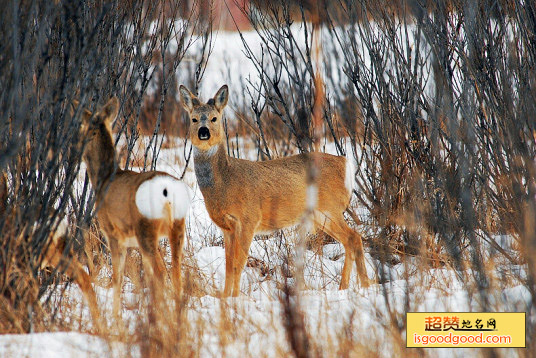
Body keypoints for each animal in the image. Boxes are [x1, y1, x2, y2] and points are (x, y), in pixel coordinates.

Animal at [74, 96, 192, 318]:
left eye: (83, 129)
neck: (104, 179)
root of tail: (168, 190)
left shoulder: (113, 234)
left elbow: (117, 278)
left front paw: (116, 317)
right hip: (177, 227)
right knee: (176, 273)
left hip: (145, 228)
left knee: (161, 273)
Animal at [179, 84, 368, 296]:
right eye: (194, 119)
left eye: (214, 118)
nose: (203, 132)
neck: (225, 183)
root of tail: (346, 164)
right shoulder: (226, 227)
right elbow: (228, 266)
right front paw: (226, 297)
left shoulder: (249, 218)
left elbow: (238, 264)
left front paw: (235, 298)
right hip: (321, 215)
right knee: (350, 239)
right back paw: (346, 287)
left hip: (330, 208)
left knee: (354, 237)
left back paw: (363, 285)